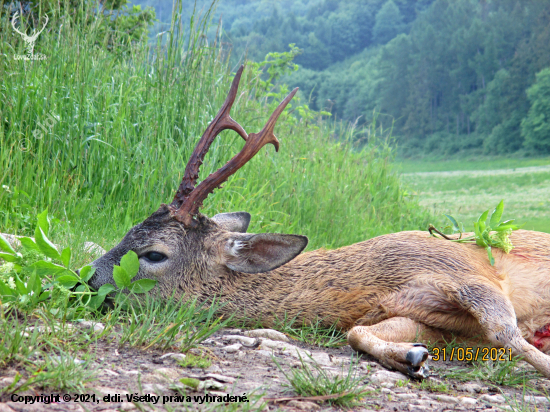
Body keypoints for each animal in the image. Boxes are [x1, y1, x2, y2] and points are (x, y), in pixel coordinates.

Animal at [88, 67, 550, 380]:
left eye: (153, 254)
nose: (87, 279)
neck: (370, 283)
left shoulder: (464, 270)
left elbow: (503, 331)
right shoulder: (429, 319)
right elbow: (358, 334)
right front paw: (411, 358)